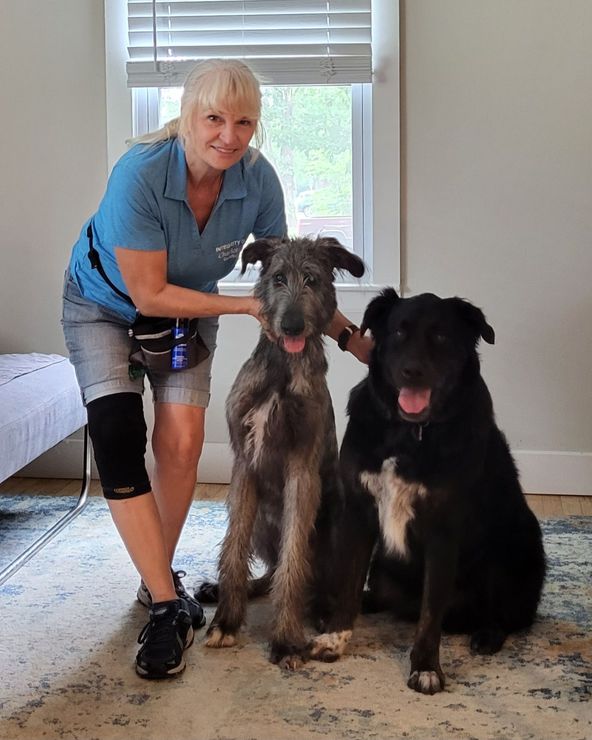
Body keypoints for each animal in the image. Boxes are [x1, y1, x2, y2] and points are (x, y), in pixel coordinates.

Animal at [197, 237, 364, 672]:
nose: (291, 325)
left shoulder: (301, 470)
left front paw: (286, 640)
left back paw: (323, 612)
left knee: (315, 577)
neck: (282, 370)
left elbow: (294, 560)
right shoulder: (244, 464)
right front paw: (226, 621)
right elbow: (233, 548)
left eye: (312, 279)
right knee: (269, 569)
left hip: (338, 518)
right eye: (277, 278)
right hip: (262, 519)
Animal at [312, 290, 548, 692]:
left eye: (440, 336)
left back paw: (487, 634)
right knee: (383, 596)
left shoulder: (442, 530)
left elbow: (430, 612)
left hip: (517, 545)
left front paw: (425, 667)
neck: (410, 433)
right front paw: (335, 637)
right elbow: (347, 581)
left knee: (504, 614)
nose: (413, 371)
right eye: (398, 332)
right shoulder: (358, 513)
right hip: (383, 566)